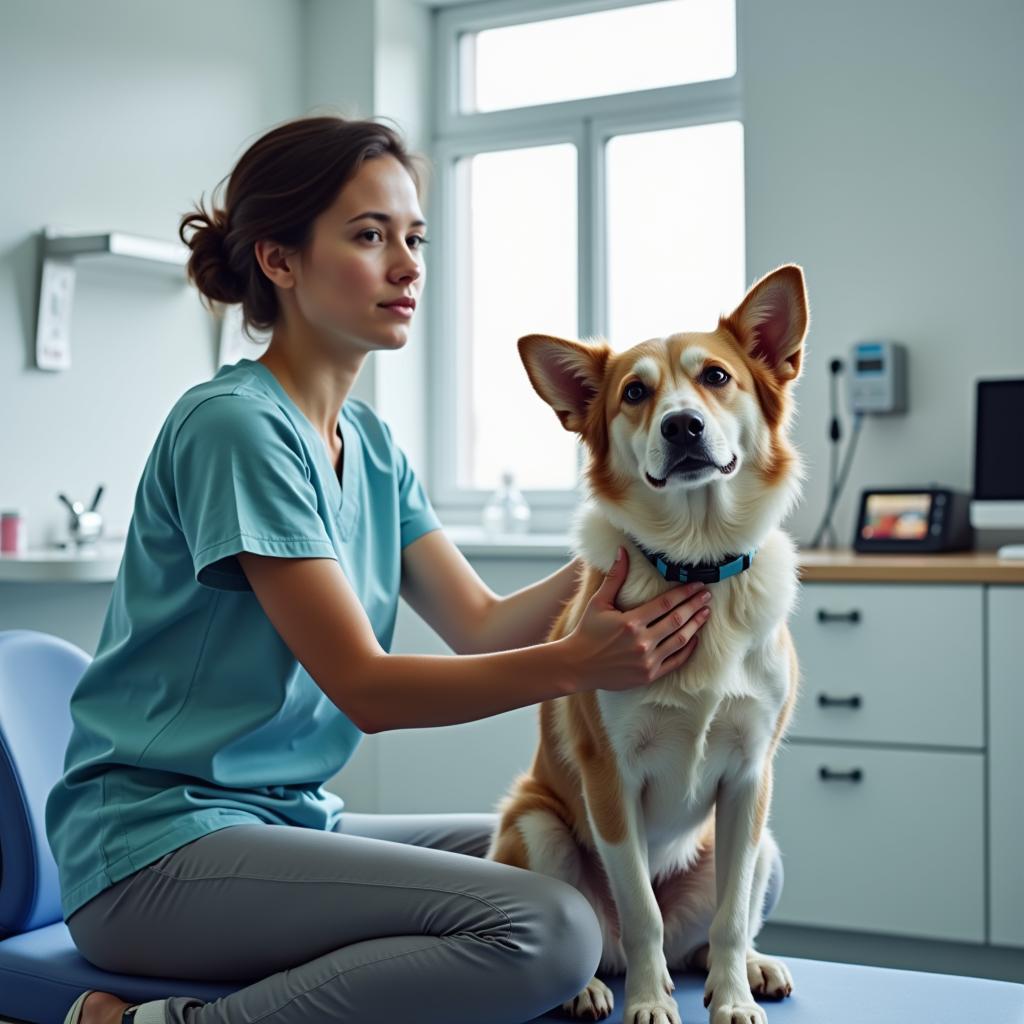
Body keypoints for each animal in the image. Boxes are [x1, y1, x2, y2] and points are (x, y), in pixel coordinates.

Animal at [483, 264, 811, 1024]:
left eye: (716, 376)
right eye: (635, 393)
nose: (682, 423)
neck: (696, 561)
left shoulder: (750, 777)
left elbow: (727, 918)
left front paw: (731, 1001)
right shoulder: (611, 779)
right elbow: (641, 915)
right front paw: (649, 1004)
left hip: (758, 841)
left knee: (709, 934)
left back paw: (750, 969)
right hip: (535, 824)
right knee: (604, 937)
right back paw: (596, 987)